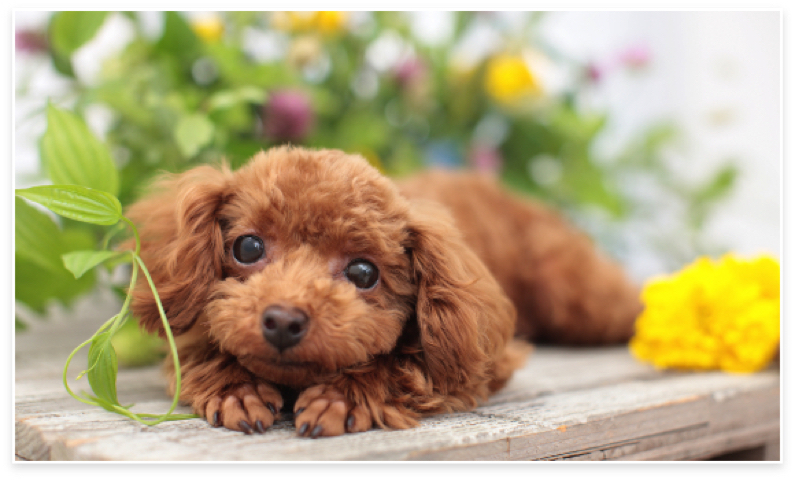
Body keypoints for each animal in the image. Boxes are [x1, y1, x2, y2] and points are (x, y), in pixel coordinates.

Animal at [129, 145, 640, 436]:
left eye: (363, 273)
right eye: (248, 247)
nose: (282, 321)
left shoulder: (480, 356)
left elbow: (404, 366)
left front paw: (344, 397)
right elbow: (202, 347)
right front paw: (237, 389)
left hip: (575, 293)